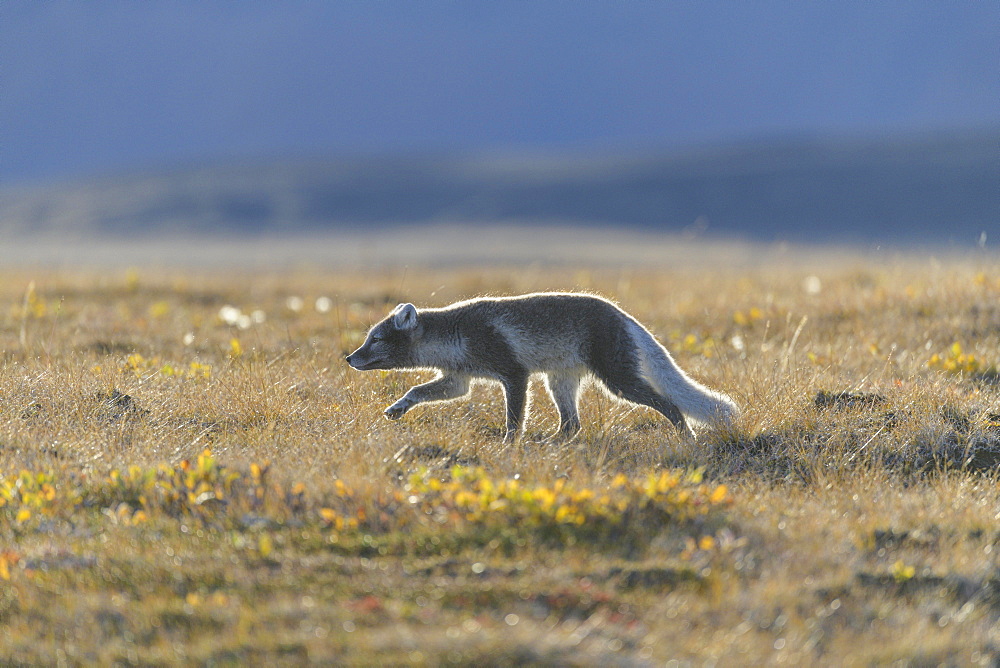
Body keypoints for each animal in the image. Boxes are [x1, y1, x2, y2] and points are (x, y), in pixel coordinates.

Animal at [348, 294, 740, 440]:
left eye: (376, 339)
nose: (349, 358)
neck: (456, 332)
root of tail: (623, 315)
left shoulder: (513, 373)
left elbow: (514, 417)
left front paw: (510, 445)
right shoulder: (459, 378)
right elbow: (417, 389)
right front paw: (397, 408)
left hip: (617, 380)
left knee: (669, 403)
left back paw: (686, 436)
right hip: (559, 381)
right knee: (572, 424)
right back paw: (551, 445)